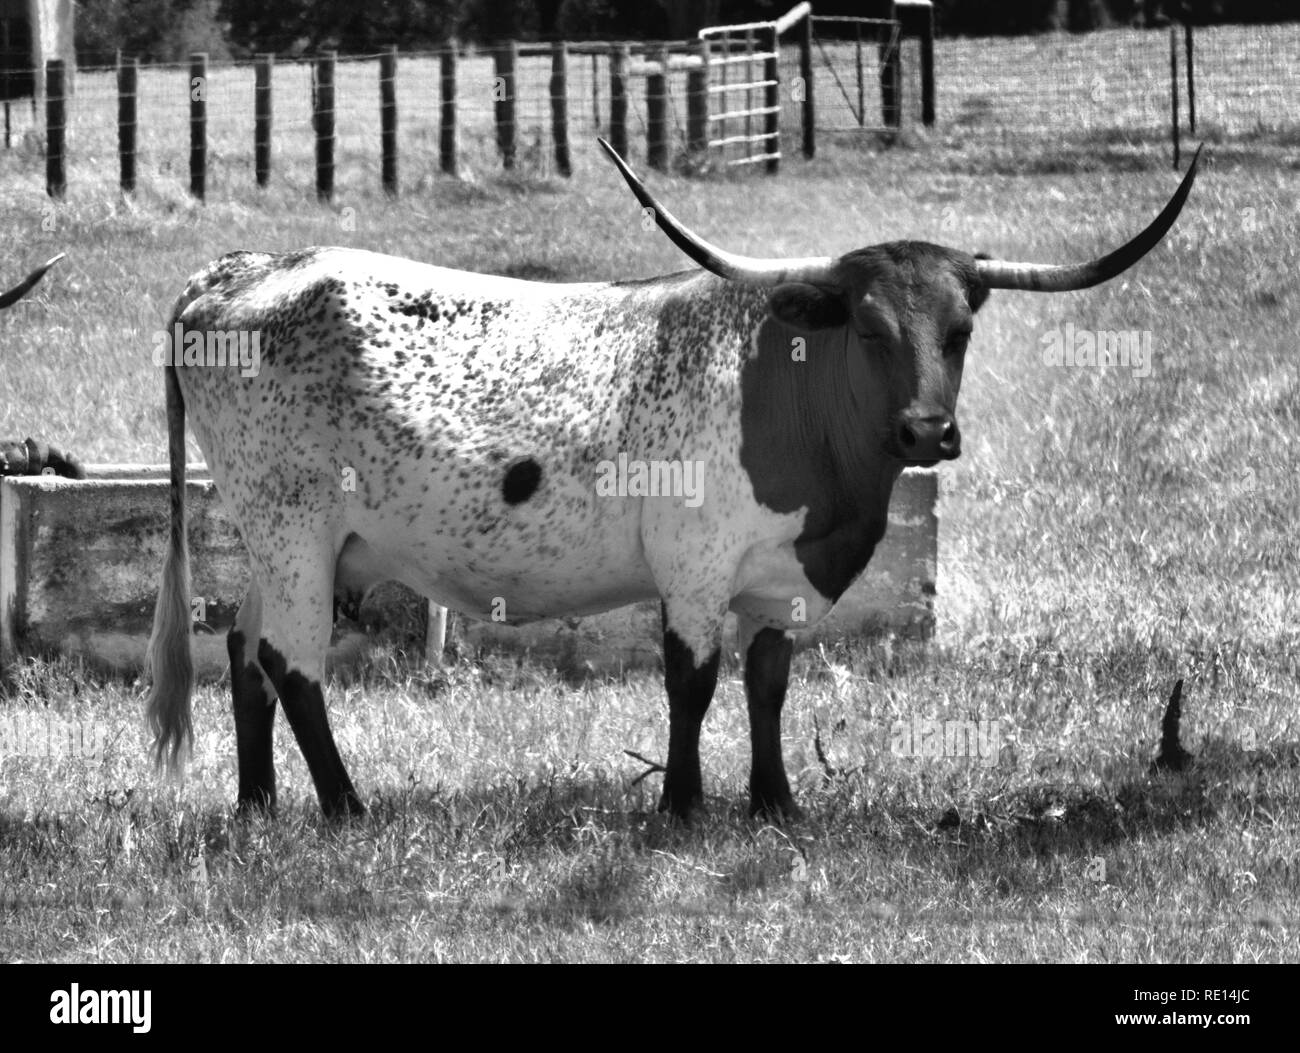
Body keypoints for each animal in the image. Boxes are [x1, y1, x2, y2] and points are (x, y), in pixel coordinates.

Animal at [145, 143, 1200, 821]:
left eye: (961, 329)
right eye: (867, 326)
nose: (926, 430)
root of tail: (237, 271)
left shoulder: (784, 582)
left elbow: (768, 681)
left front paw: (775, 804)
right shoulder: (693, 565)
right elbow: (691, 681)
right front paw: (684, 807)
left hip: (291, 543)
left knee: (241, 649)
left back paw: (256, 805)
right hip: (295, 530)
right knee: (291, 662)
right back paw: (344, 804)